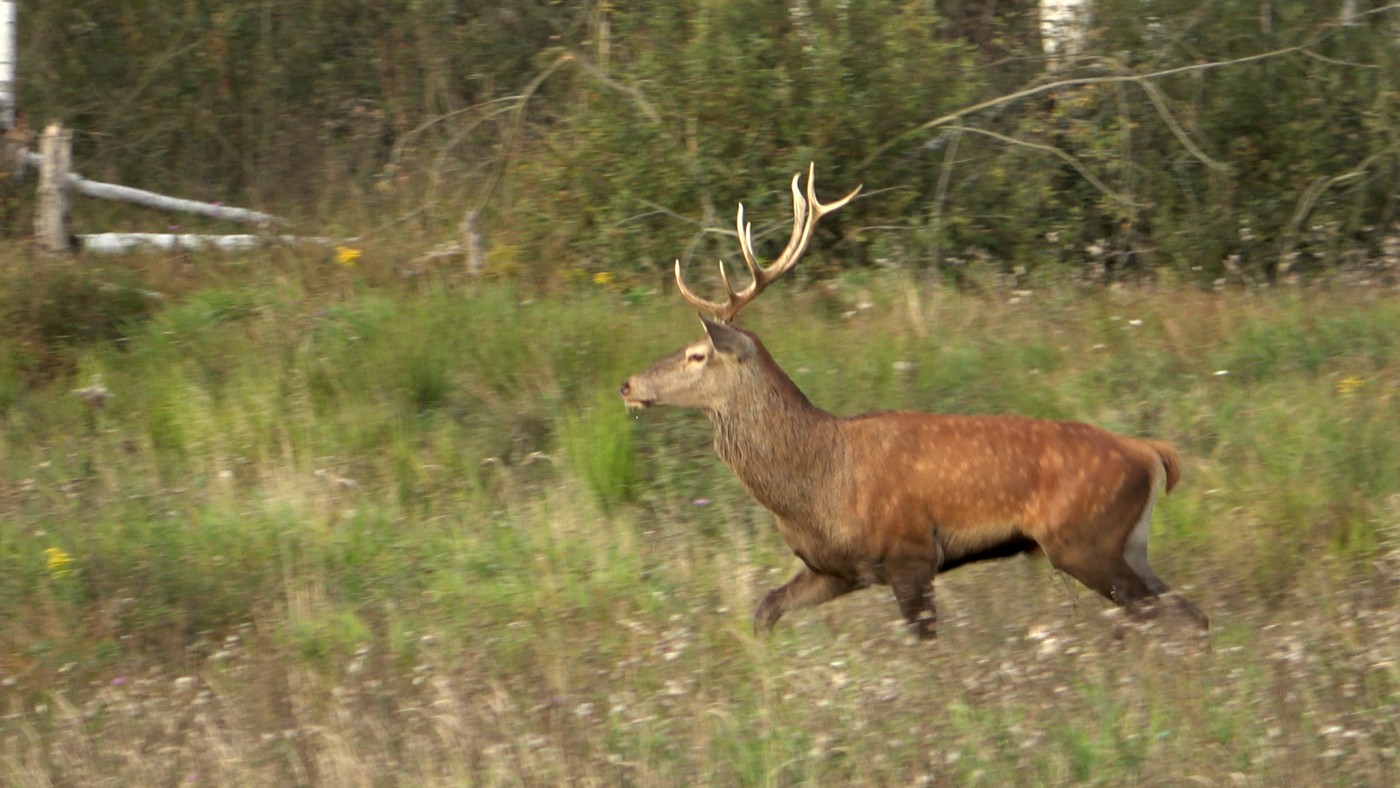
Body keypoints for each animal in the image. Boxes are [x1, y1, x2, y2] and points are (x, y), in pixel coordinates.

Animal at [618, 166, 1209, 641]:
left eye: (697, 354)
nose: (627, 385)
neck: (818, 481)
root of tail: (1150, 453)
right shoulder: (836, 568)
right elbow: (765, 609)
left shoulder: (910, 552)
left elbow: (925, 647)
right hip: (1126, 544)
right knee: (1190, 612)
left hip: (1085, 540)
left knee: (1168, 612)